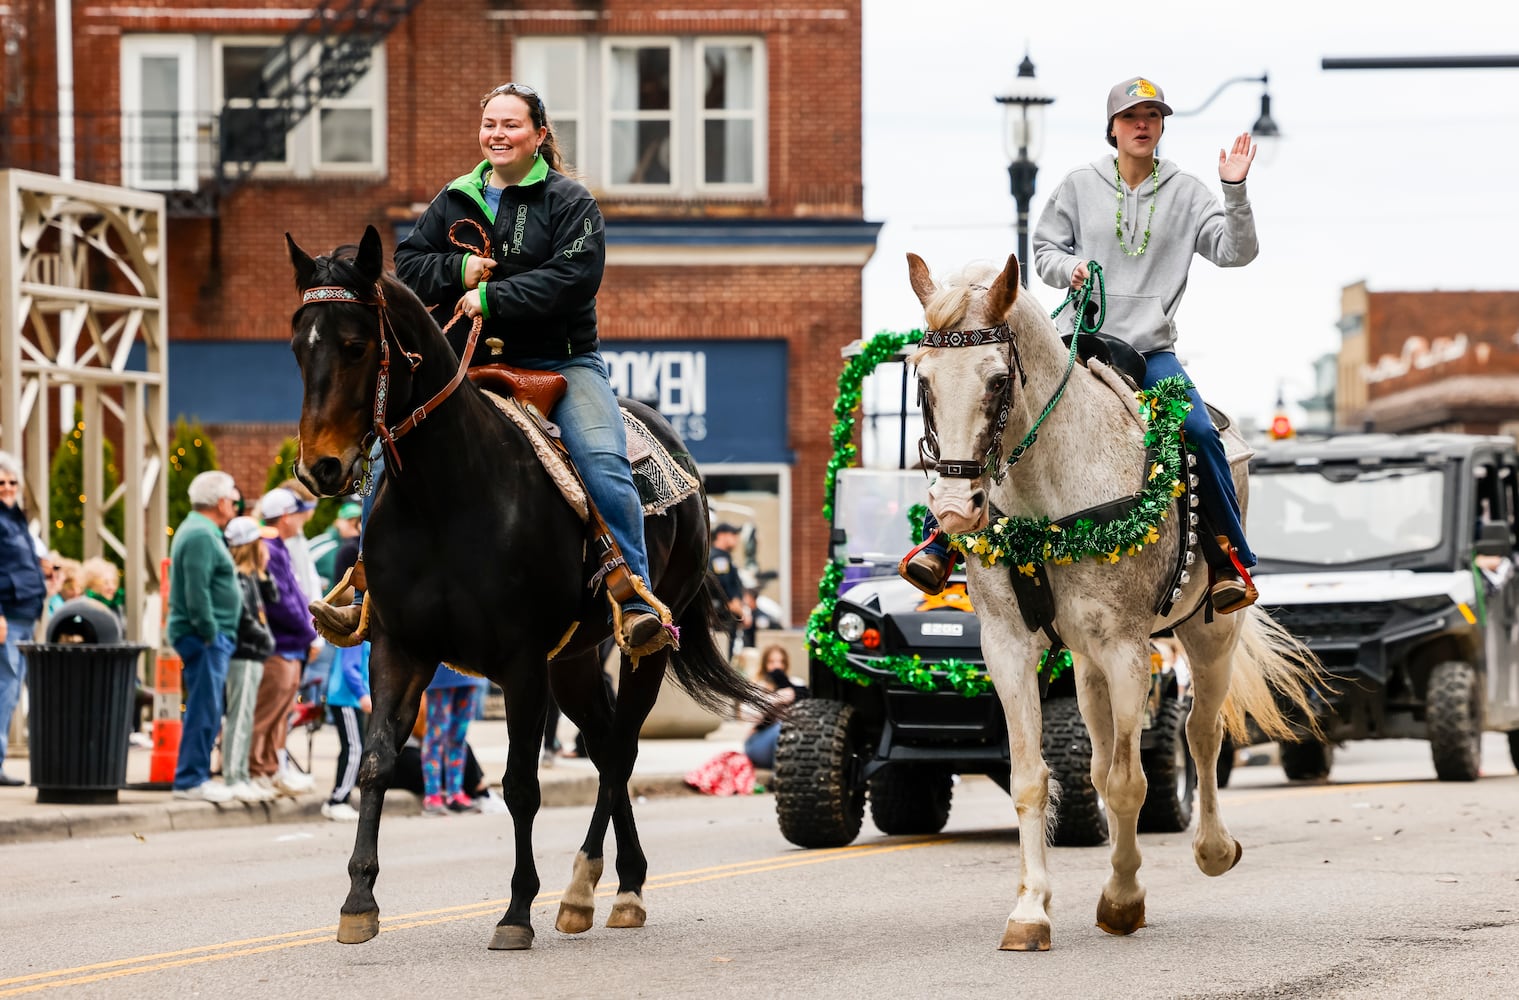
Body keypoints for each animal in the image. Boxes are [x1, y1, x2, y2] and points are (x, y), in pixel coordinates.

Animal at [285, 221, 759, 948]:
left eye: (357, 345)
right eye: (296, 344)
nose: (321, 467)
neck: (443, 495)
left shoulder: (520, 661)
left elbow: (519, 785)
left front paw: (516, 908)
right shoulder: (399, 647)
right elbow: (376, 761)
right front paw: (358, 900)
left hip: (645, 646)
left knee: (622, 749)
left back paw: (597, 888)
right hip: (574, 660)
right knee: (603, 749)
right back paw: (608, 886)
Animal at [905, 250, 1324, 948]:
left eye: (997, 380)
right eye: (924, 381)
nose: (955, 508)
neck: (1044, 495)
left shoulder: (1127, 648)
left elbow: (1131, 783)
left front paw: (1123, 899)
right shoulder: (1009, 647)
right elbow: (1033, 779)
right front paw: (1031, 909)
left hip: (1208, 633)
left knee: (1202, 733)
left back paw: (1214, 848)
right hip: (1085, 664)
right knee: (1104, 760)